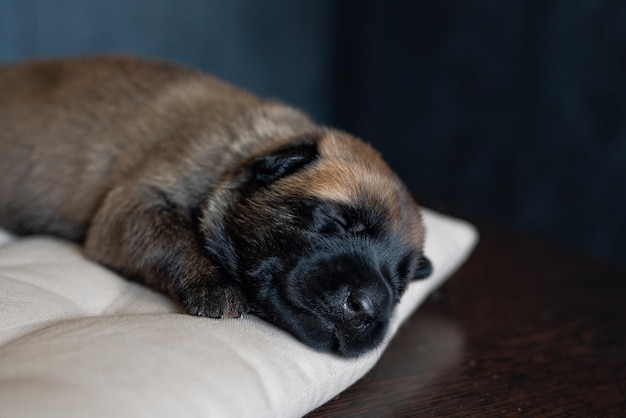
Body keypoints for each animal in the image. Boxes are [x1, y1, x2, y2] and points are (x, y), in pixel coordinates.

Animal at [0, 54, 428, 356]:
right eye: (338, 222)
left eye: (401, 285)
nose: (368, 307)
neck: (246, 151)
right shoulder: (131, 206)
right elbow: (174, 232)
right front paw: (214, 283)